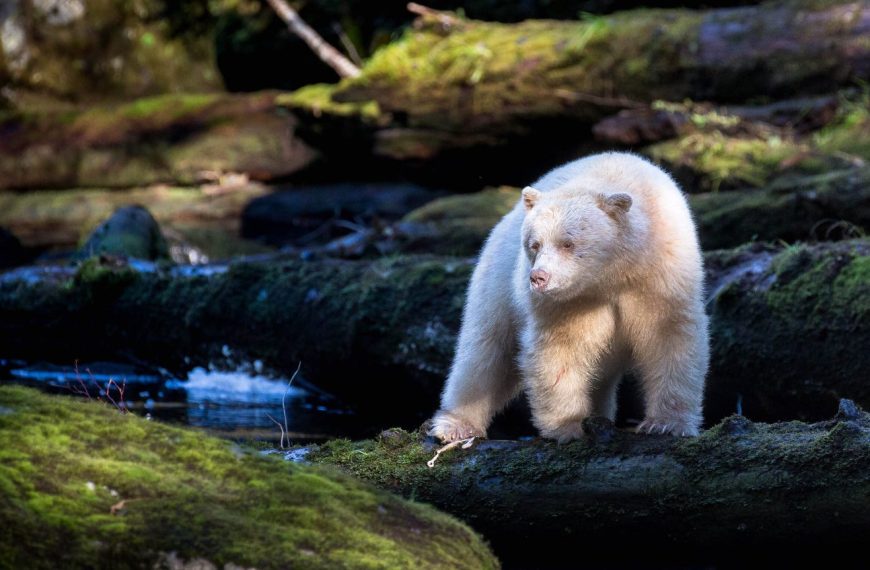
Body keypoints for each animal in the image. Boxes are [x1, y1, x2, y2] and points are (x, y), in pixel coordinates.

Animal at [429, 151, 709, 443]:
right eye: (535, 244)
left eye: (568, 243)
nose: (538, 277)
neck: (612, 276)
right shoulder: (567, 303)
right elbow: (560, 349)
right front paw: (569, 426)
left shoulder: (662, 278)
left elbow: (670, 337)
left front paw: (666, 424)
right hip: (498, 281)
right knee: (486, 351)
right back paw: (456, 426)